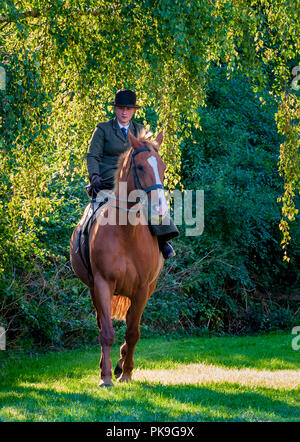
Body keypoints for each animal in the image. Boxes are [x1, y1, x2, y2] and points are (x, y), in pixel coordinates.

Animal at [71, 130, 169, 386]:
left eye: (163, 167)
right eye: (141, 167)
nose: (160, 208)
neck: (126, 233)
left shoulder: (143, 289)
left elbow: (133, 332)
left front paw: (125, 373)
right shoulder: (103, 284)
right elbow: (106, 331)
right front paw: (105, 377)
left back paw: (121, 364)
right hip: (93, 289)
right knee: (101, 324)